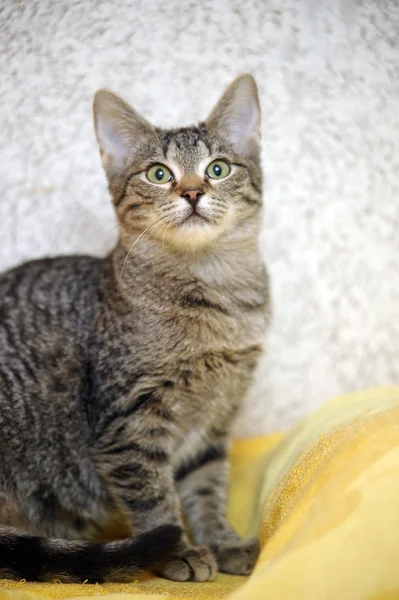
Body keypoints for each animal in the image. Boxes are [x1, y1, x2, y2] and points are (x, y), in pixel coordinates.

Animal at [0, 74, 272, 580]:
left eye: (218, 168)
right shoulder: (129, 421)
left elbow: (207, 487)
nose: (192, 192)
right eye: (159, 174)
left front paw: (222, 541)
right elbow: (153, 496)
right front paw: (177, 550)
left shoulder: (215, 420)